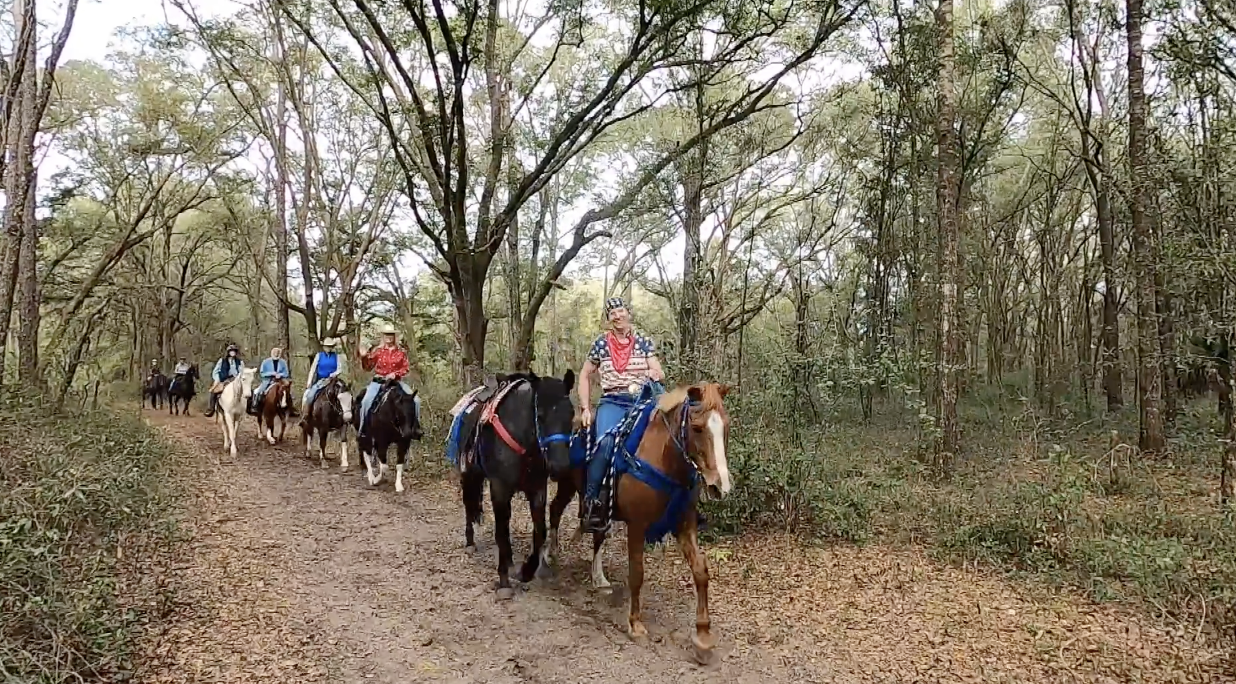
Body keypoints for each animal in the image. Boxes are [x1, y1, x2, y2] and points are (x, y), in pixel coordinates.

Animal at [449, 371, 576, 599]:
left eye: (571, 413)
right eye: (540, 415)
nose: (560, 466)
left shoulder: (537, 490)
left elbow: (540, 531)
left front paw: (526, 571)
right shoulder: (499, 489)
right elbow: (501, 530)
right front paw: (504, 582)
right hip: (469, 473)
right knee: (468, 504)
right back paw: (470, 543)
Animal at [549, 382, 732, 663]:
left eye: (726, 425)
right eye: (697, 427)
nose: (719, 486)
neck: (663, 458)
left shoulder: (684, 523)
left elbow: (700, 570)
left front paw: (702, 636)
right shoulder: (637, 525)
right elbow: (637, 573)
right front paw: (635, 624)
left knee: (596, 532)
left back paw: (598, 578)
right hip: (567, 484)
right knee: (554, 510)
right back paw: (550, 554)